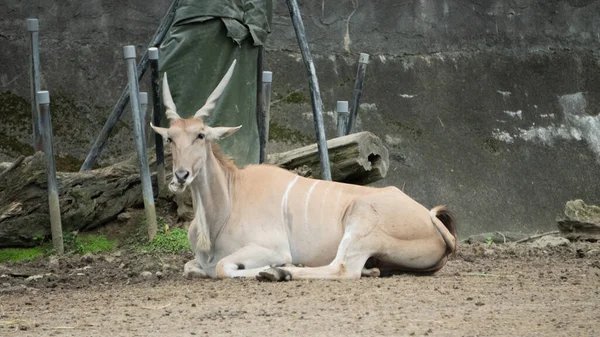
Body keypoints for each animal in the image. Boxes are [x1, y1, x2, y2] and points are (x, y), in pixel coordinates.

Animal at [149, 59, 454, 280]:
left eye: (201, 135)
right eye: (170, 138)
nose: (180, 176)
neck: (228, 202)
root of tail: (430, 218)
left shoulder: (270, 247)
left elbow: (223, 267)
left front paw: (274, 268)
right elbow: (191, 268)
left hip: (360, 223)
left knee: (342, 269)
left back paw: (281, 272)